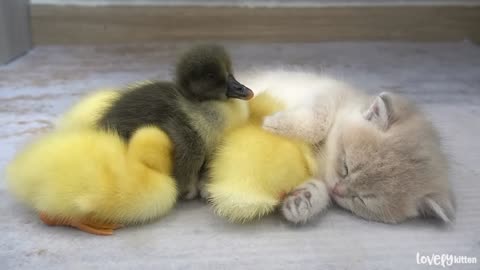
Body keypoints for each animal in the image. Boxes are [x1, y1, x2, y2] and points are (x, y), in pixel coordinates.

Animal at [251, 69, 454, 224]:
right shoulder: (329, 92)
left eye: (362, 198)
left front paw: (303, 200)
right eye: (345, 167)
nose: (337, 190)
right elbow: (319, 121)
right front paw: (275, 124)